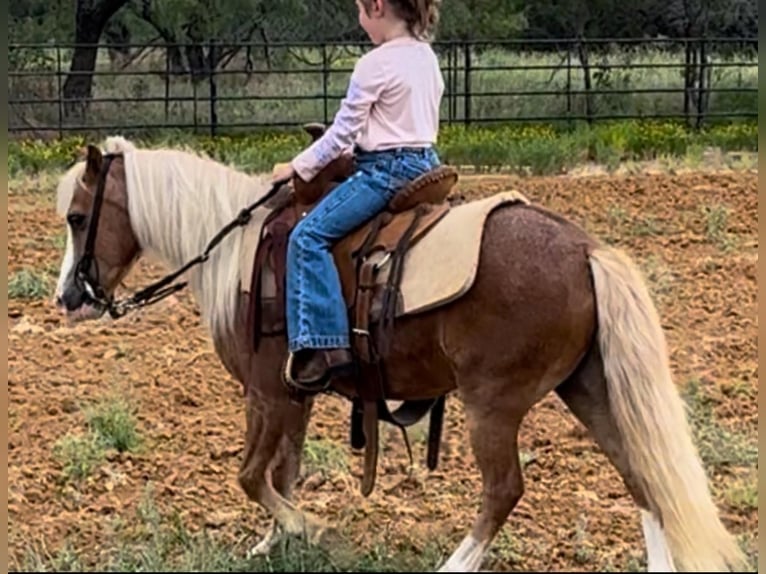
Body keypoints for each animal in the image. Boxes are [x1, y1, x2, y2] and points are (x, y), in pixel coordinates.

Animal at [54, 134, 752, 572]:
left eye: (79, 217)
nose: (69, 297)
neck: (240, 251)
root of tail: (586, 250)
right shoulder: (296, 395)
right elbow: (282, 471)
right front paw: (277, 542)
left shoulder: (268, 393)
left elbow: (252, 476)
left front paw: (312, 531)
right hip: (589, 387)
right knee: (641, 474)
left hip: (493, 403)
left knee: (503, 490)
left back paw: (454, 564)